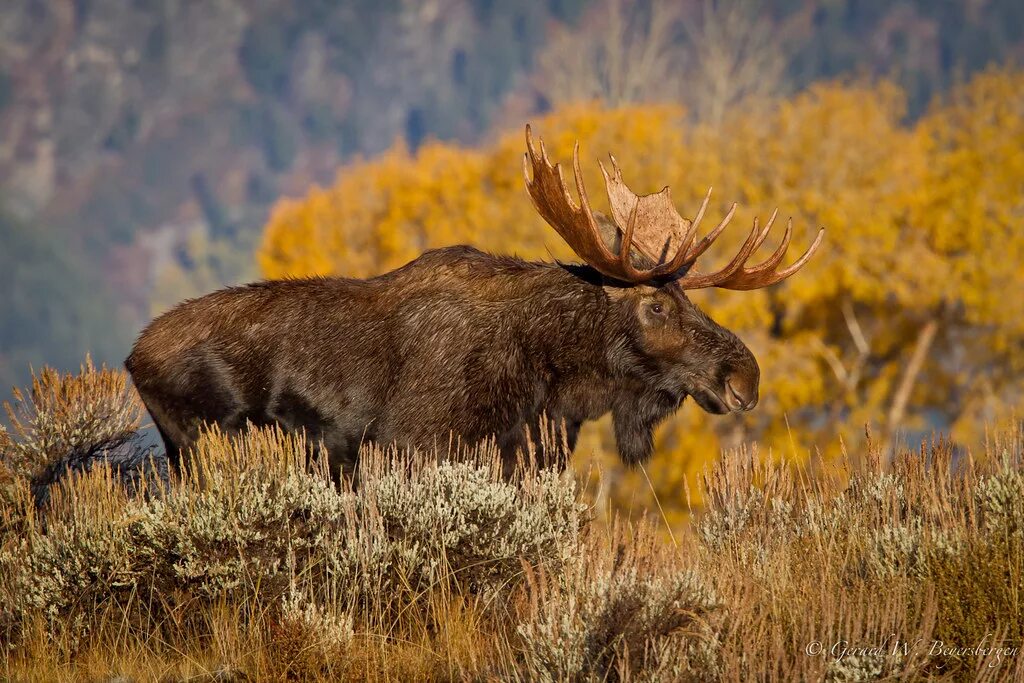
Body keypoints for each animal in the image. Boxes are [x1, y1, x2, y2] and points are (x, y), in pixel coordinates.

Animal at [125, 126, 823, 475]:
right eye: (656, 305)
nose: (745, 377)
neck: (549, 378)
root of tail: (134, 356)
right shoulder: (413, 446)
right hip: (200, 443)